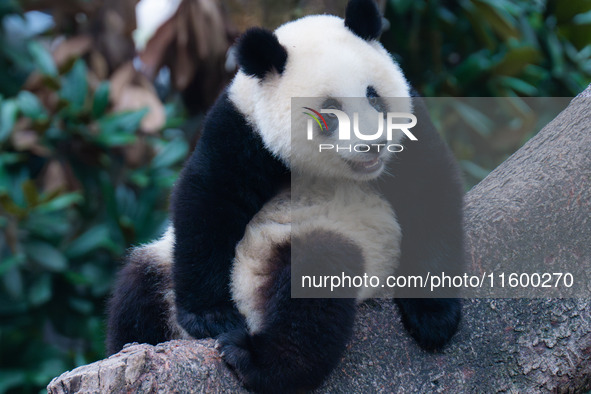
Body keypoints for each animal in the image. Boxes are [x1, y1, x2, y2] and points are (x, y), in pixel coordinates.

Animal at [106, 1, 468, 392]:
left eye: (374, 96)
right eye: (330, 110)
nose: (374, 145)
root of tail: (251, 303)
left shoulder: (409, 134)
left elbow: (430, 196)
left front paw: (433, 318)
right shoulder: (241, 128)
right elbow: (208, 203)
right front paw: (210, 316)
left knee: (313, 286)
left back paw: (252, 359)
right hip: (163, 264)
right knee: (137, 291)